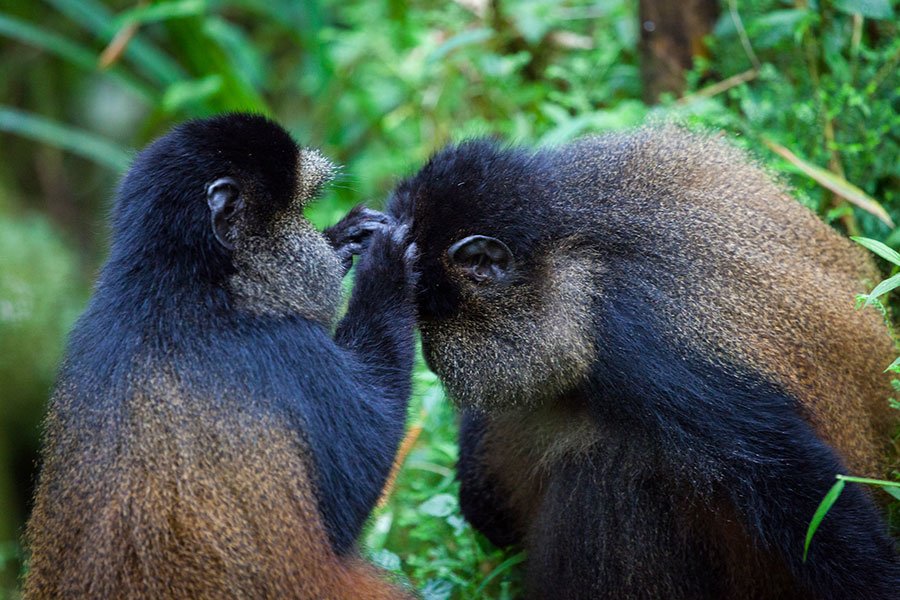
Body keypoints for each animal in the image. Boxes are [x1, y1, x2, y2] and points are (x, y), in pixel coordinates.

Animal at [24, 113, 417, 599]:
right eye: (297, 211)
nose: (323, 241)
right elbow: (357, 484)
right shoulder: (289, 353)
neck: (179, 281)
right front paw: (387, 265)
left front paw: (346, 238)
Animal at [387, 126, 900, 599]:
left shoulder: (634, 340)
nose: (428, 355)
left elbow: (786, 468)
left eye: (425, 305)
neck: (565, 254)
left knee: (605, 469)